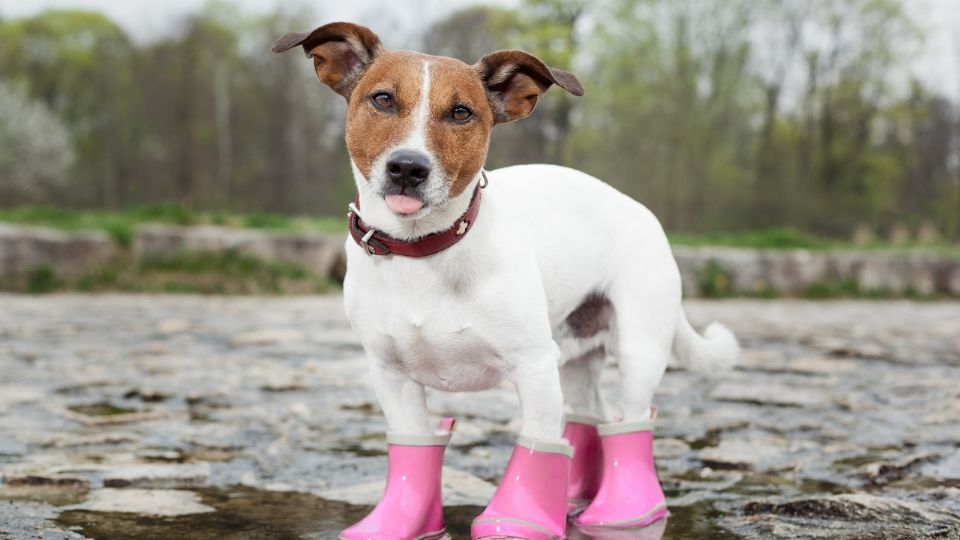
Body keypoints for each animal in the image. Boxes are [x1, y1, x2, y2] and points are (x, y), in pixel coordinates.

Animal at [274, 21, 740, 540]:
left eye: (461, 112)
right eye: (382, 100)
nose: (408, 167)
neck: (424, 251)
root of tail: (641, 210)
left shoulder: (533, 367)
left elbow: (538, 442)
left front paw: (518, 519)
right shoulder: (391, 376)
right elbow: (413, 447)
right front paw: (402, 523)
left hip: (638, 349)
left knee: (631, 422)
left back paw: (626, 510)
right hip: (574, 359)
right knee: (588, 416)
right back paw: (576, 494)